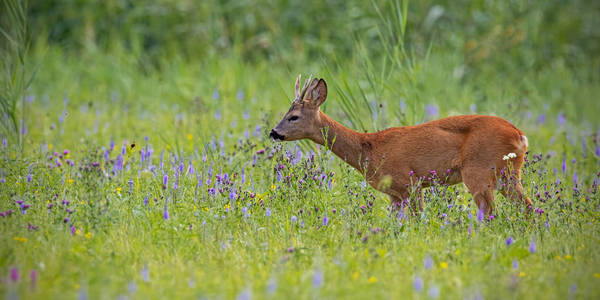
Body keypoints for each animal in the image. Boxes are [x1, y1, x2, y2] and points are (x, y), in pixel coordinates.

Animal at [270, 76, 532, 214]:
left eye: (293, 117)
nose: (273, 132)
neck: (367, 149)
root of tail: (520, 135)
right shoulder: (393, 193)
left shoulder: (409, 183)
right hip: (509, 173)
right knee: (528, 208)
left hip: (478, 171)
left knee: (490, 214)